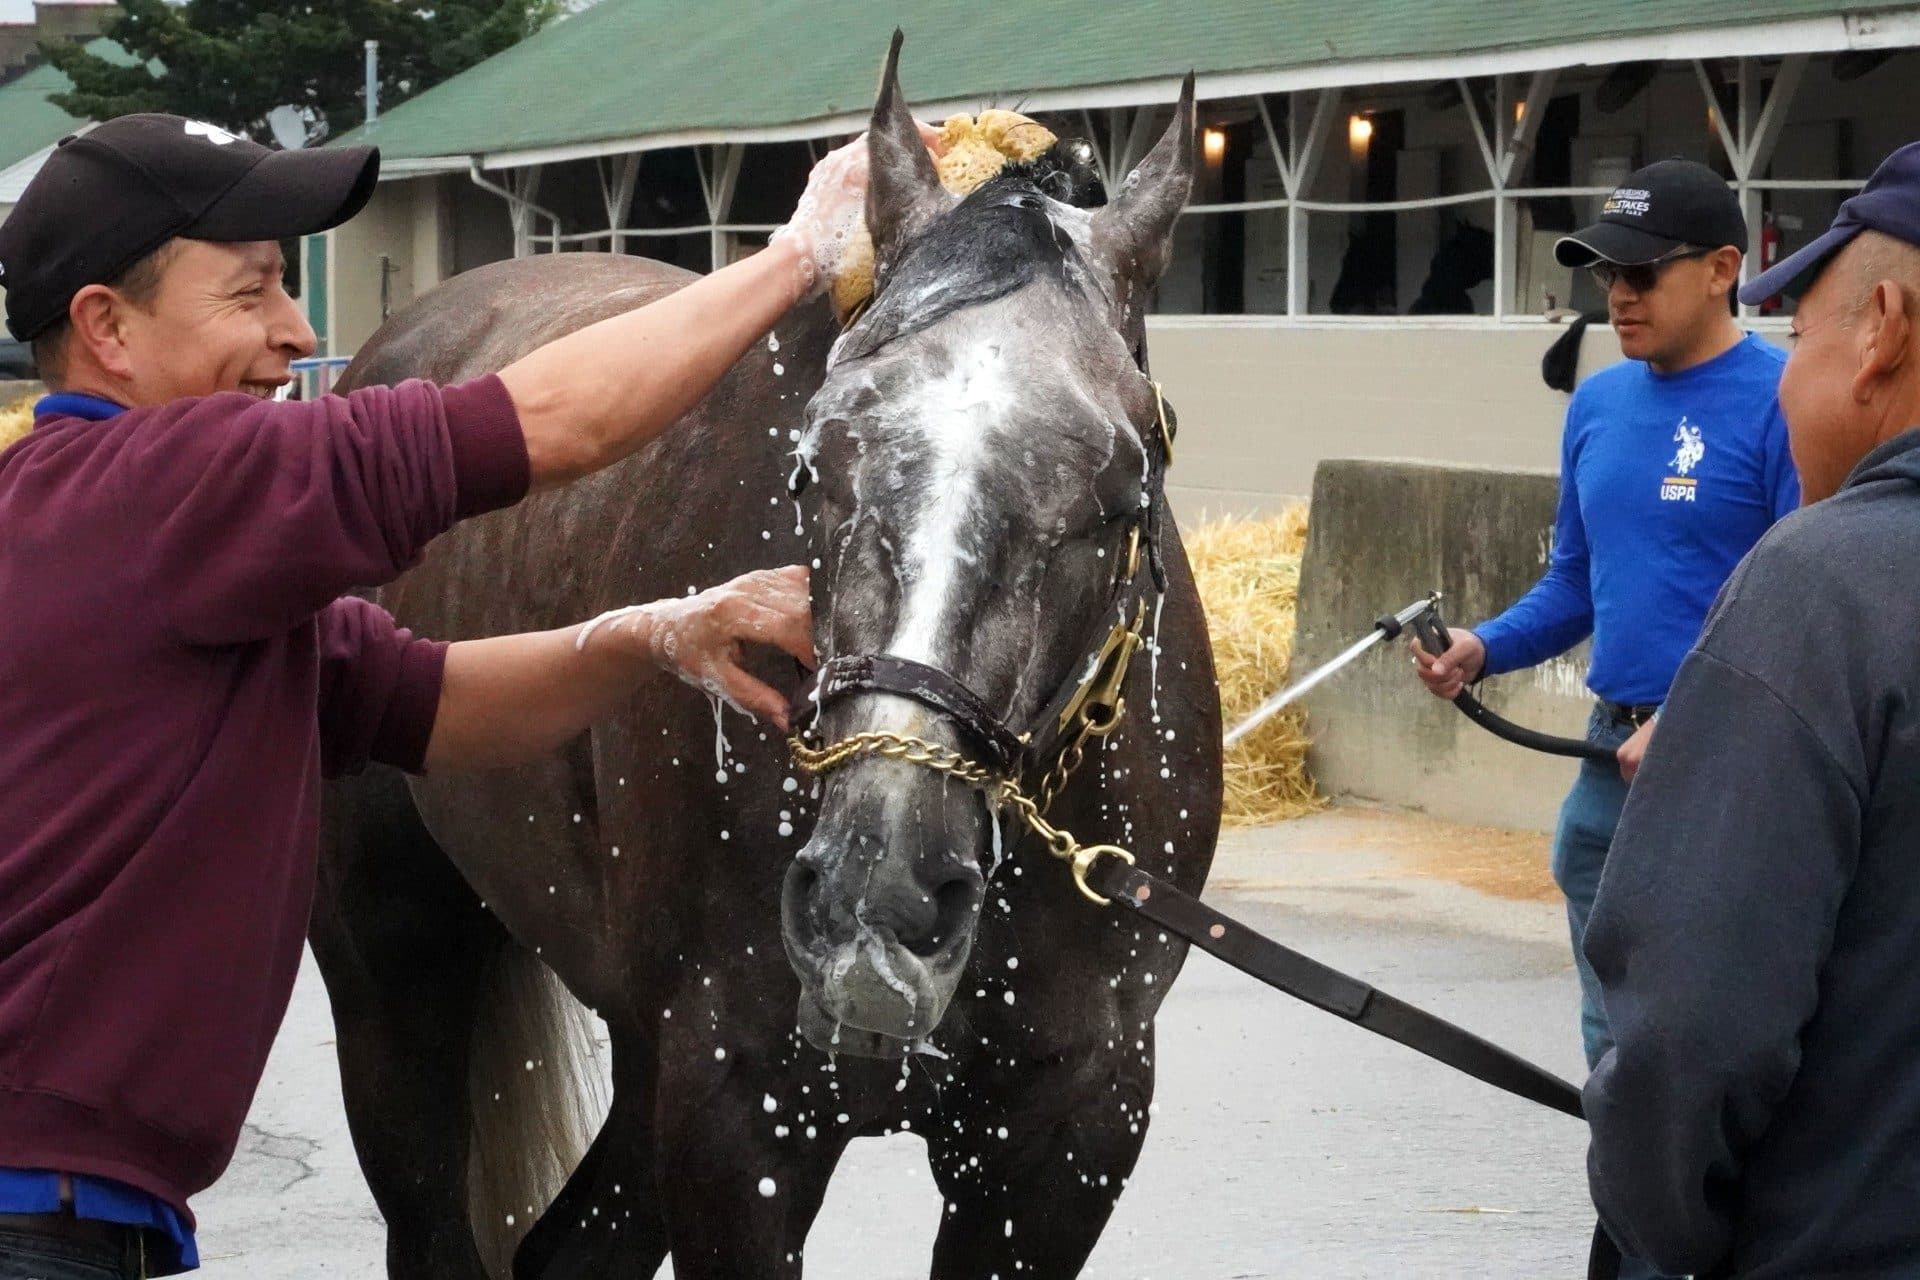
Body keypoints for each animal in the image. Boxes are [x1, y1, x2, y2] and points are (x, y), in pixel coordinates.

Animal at [313, 48, 1222, 1280]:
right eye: (810, 464)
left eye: (1124, 493)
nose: (878, 895)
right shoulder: (739, 1116)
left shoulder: (1065, 1133)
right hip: (394, 974)